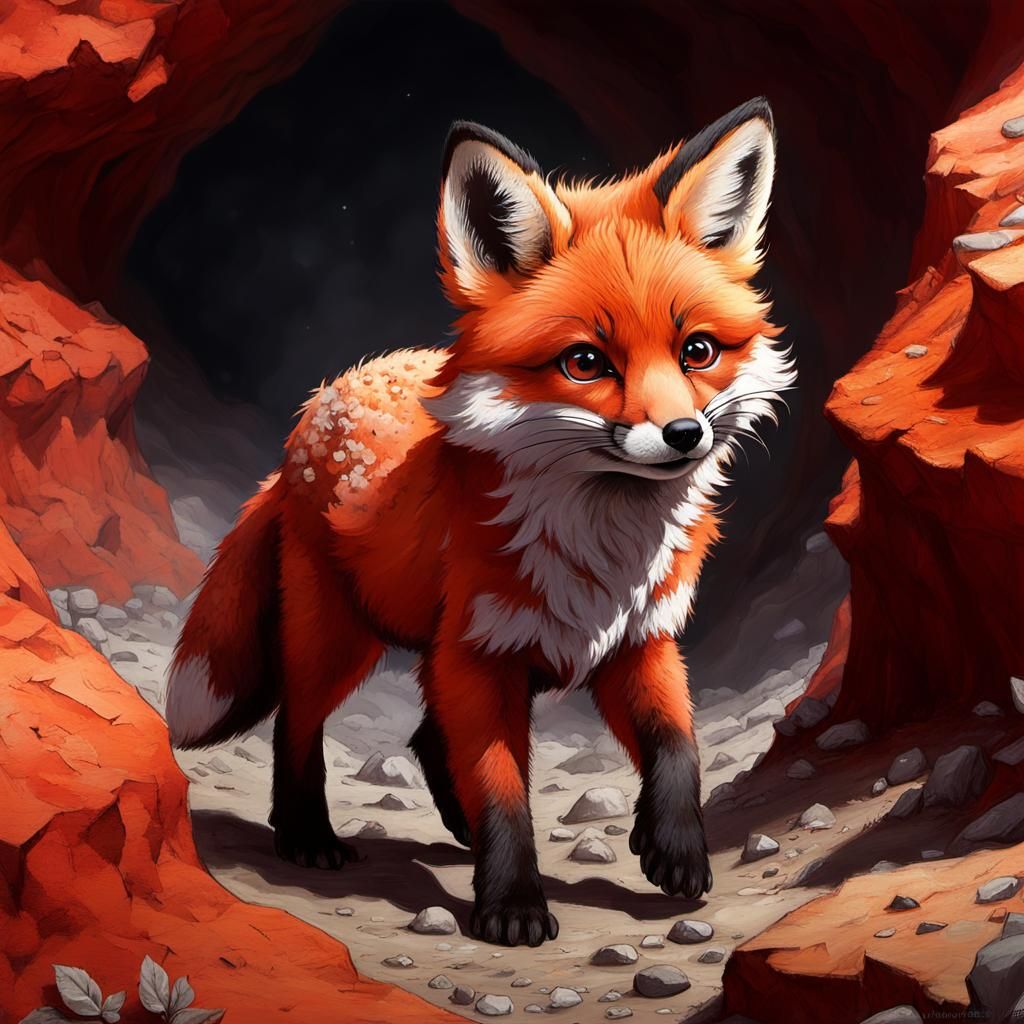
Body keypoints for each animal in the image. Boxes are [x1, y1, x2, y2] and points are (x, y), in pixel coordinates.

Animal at [166, 97, 794, 947]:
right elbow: (503, 792)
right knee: (298, 721)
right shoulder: (482, 654)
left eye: (696, 350)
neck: (599, 548)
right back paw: (306, 836)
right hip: (342, 639)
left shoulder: (639, 640)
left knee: (425, 736)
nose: (684, 434)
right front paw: (514, 904)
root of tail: (324, 395)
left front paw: (673, 849)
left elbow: (677, 747)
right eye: (585, 362)